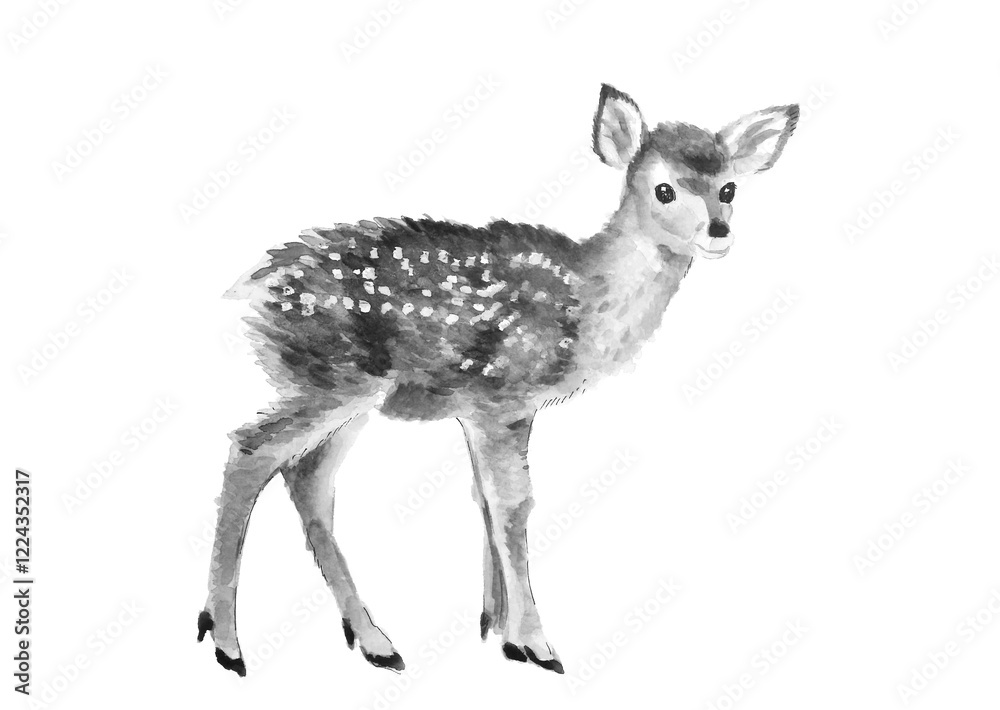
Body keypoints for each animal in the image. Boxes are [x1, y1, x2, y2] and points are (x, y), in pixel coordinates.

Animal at [198, 83, 798, 677]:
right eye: (665, 189)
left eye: (728, 188)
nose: (718, 231)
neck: (588, 303)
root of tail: (260, 285)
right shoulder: (501, 396)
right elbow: (514, 503)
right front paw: (533, 642)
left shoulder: (487, 408)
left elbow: (485, 497)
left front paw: (493, 625)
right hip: (333, 376)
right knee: (251, 450)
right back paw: (227, 642)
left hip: (346, 395)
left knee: (309, 479)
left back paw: (373, 641)